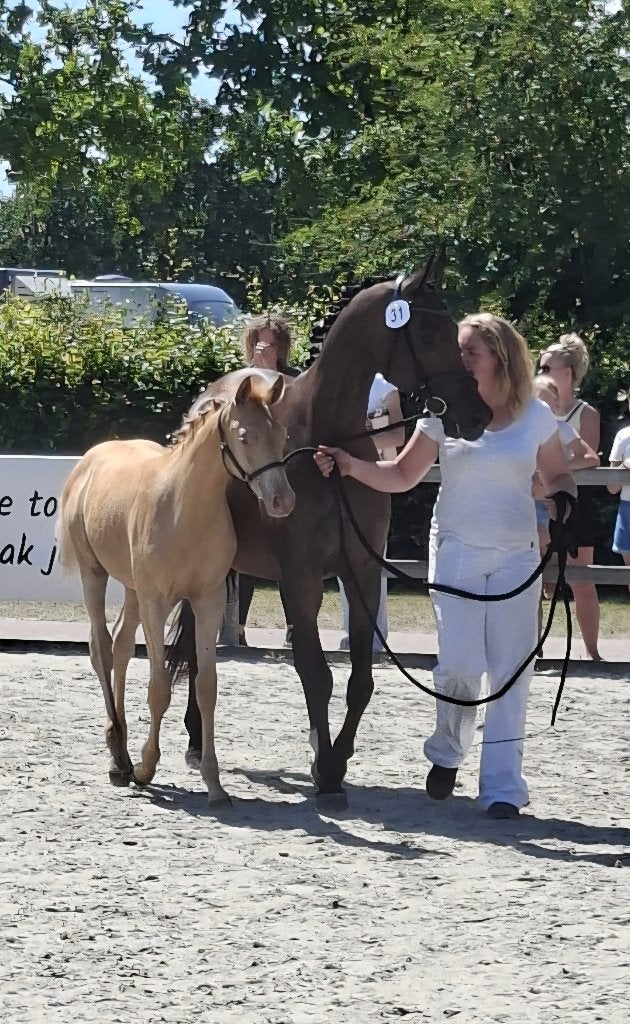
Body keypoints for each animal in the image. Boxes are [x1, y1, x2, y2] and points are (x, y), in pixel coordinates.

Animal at [56, 371, 295, 804]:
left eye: (282, 433)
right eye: (244, 435)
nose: (281, 501)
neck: (185, 510)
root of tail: (91, 459)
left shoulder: (207, 601)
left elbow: (206, 688)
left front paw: (214, 783)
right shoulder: (156, 602)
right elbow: (158, 688)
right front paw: (146, 768)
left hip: (133, 589)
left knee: (120, 645)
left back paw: (121, 747)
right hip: (94, 575)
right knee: (101, 648)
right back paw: (119, 758)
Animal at [168, 252, 492, 801]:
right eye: (431, 333)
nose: (479, 413)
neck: (326, 443)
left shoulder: (359, 571)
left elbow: (360, 679)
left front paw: (336, 760)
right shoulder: (300, 579)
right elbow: (315, 673)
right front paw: (324, 768)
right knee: (195, 644)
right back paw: (194, 740)